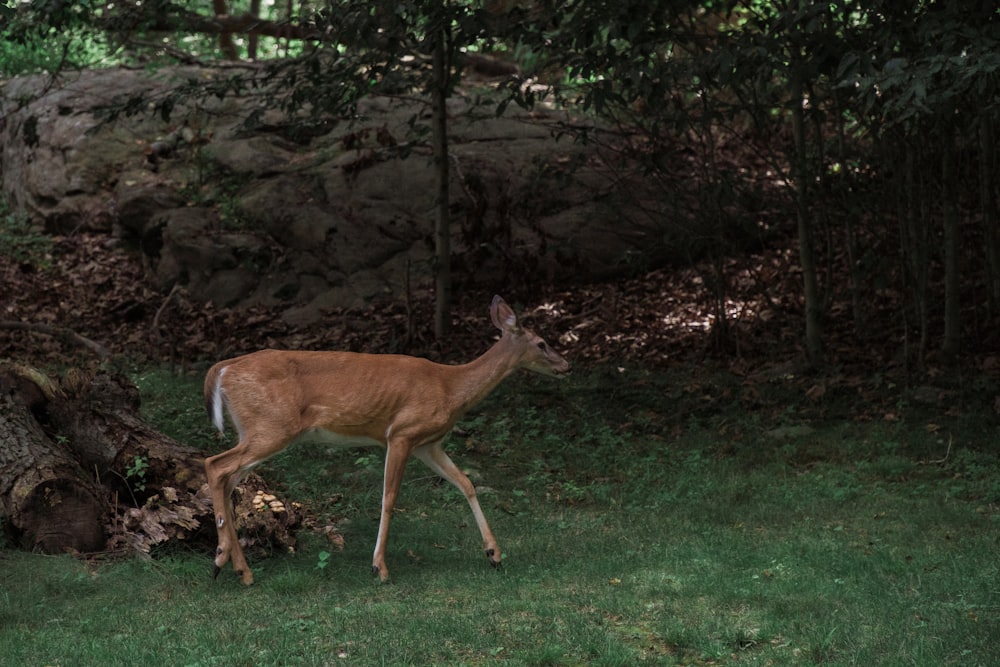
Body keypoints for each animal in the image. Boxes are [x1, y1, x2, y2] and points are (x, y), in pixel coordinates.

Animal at [201, 298, 572, 584]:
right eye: (542, 343)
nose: (566, 366)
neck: (451, 387)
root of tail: (222, 368)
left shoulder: (428, 443)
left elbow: (466, 483)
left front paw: (494, 554)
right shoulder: (402, 432)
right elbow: (389, 498)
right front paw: (379, 567)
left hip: (254, 429)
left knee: (229, 480)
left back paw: (240, 570)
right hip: (273, 426)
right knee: (215, 465)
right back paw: (221, 558)